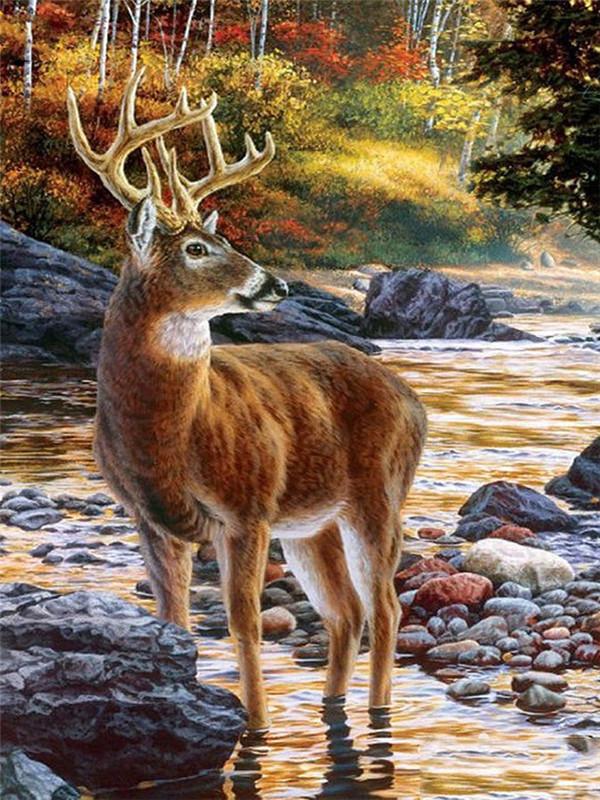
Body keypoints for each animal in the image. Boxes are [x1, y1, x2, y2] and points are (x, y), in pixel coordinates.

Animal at [67, 68, 427, 732]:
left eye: (221, 237)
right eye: (196, 248)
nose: (276, 284)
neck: (173, 435)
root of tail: (412, 400)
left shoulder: (247, 510)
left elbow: (243, 625)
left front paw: (255, 728)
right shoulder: (150, 519)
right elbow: (174, 622)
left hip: (379, 496)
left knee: (386, 608)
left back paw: (377, 714)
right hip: (313, 523)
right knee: (346, 612)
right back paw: (332, 705)